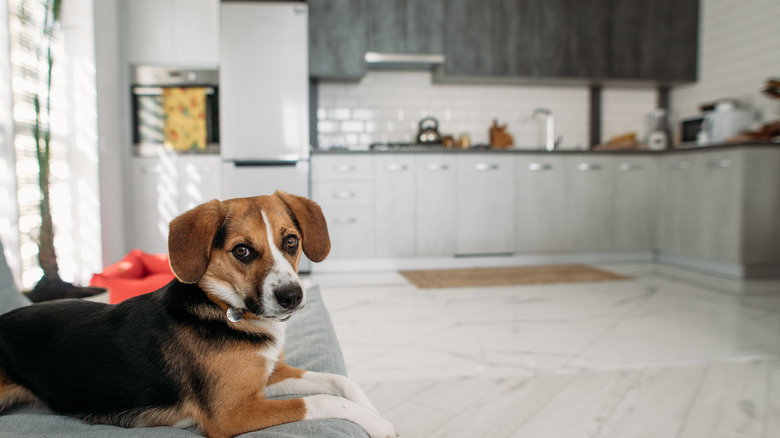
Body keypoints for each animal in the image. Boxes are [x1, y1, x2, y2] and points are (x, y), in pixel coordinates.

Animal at [0, 192, 400, 438]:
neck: (227, 310)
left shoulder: (269, 375)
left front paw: (377, 413)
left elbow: (341, 382)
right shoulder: (231, 414)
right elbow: (322, 400)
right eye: (241, 250)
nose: (292, 296)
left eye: (291, 241)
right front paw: (377, 425)